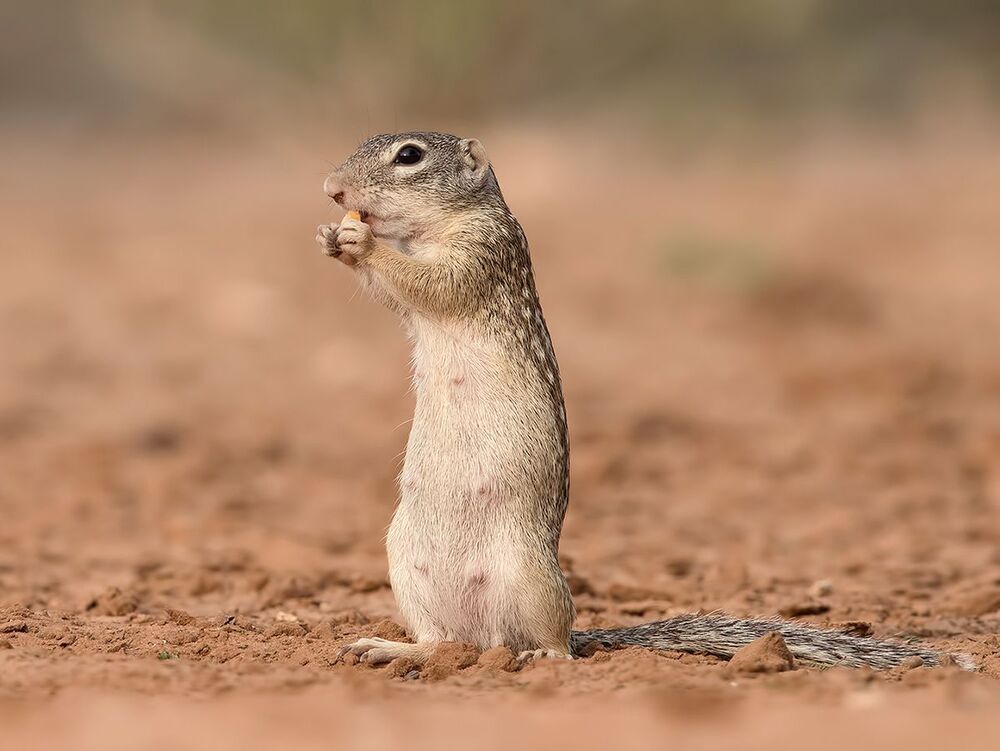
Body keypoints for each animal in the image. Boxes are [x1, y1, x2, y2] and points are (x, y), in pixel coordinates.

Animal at [315, 131, 973, 671]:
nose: (331, 189)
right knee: (440, 644)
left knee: (550, 643)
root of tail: (487, 638)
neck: (435, 227)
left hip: (529, 576)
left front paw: (359, 239)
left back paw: (541, 657)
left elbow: (431, 282)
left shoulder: (483, 250)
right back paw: (390, 648)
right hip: (406, 567)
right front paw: (333, 238)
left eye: (409, 155)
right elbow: (398, 294)